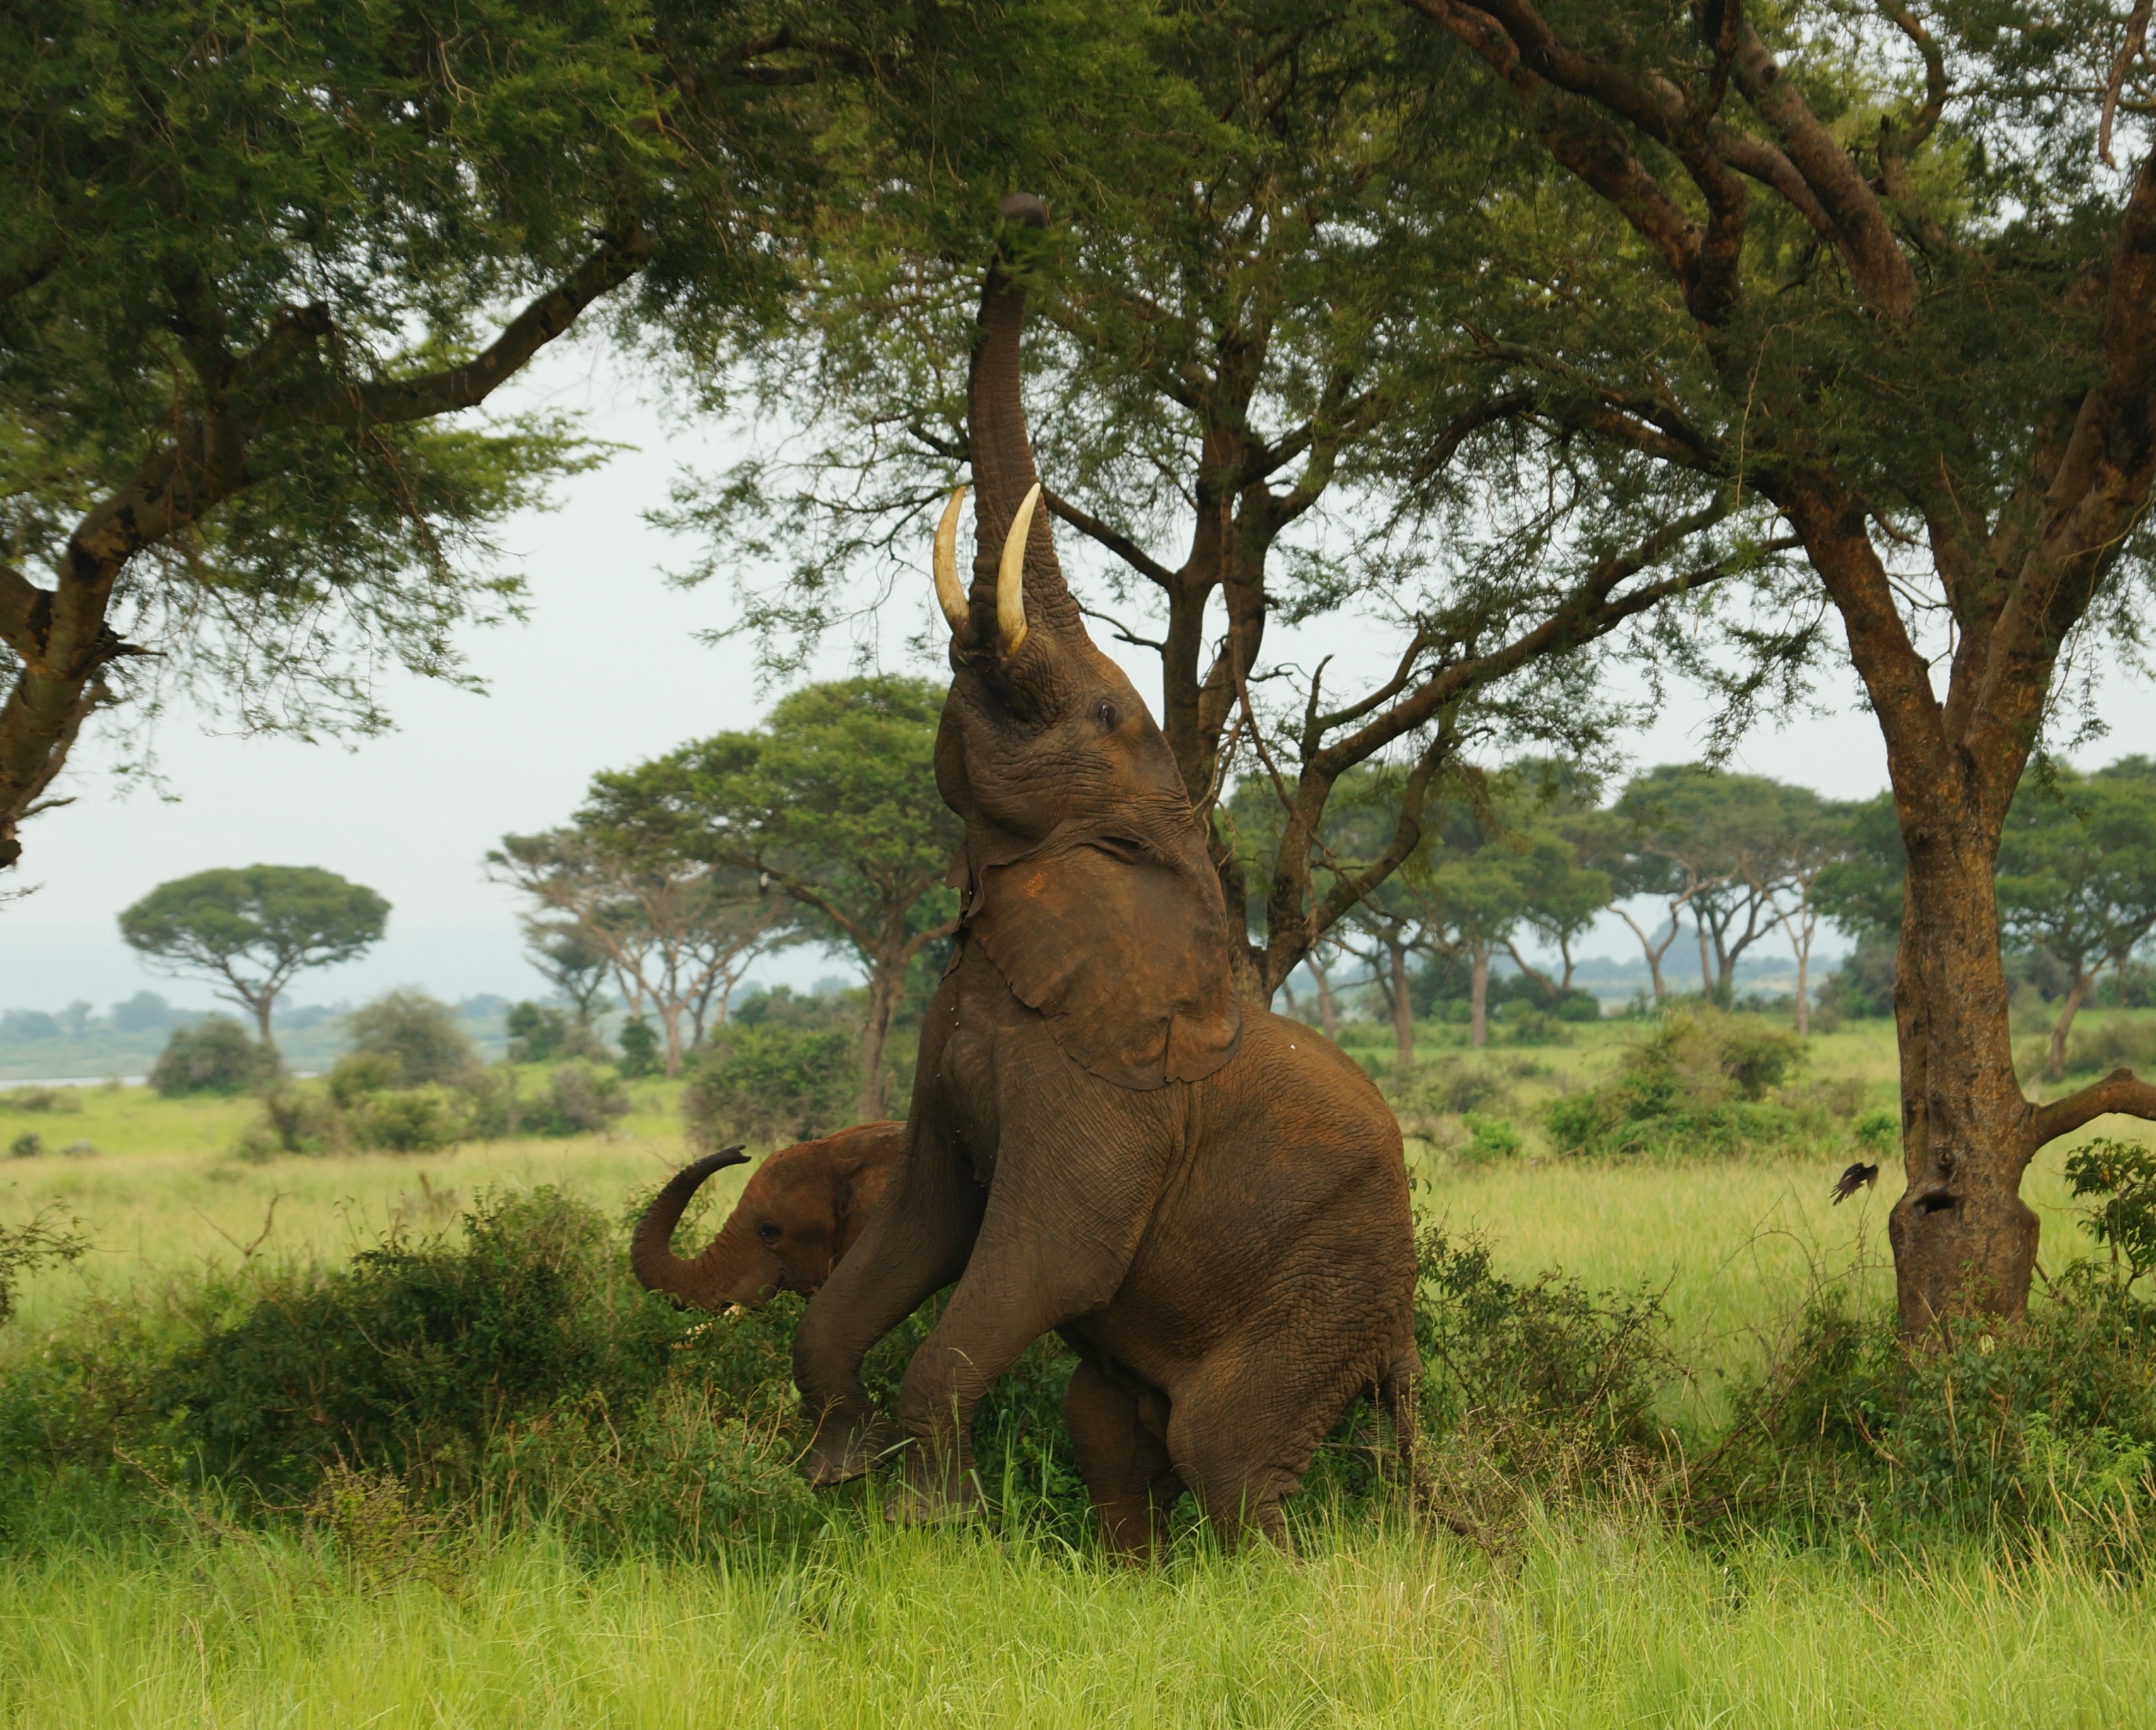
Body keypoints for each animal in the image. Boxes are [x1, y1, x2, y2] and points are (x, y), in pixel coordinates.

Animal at [790, 194, 1418, 1556]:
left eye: (1093, 711)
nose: (1026, 208)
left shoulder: (1111, 1098)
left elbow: (1039, 1257)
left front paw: (927, 1525)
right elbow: (921, 1223)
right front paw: (837, 1466)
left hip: (1323, 1291)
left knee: (1227, 1454)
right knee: (1111, 1428)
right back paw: (1133, 1577)